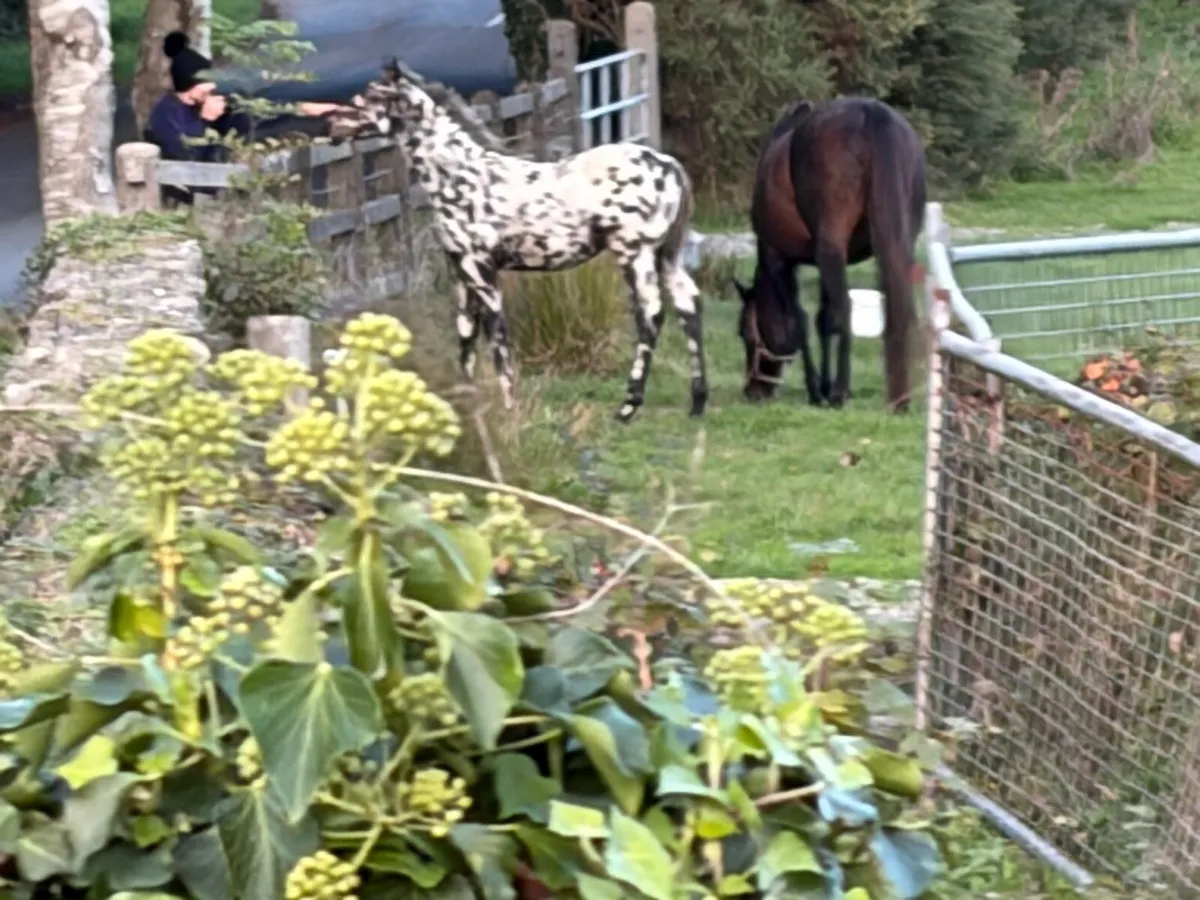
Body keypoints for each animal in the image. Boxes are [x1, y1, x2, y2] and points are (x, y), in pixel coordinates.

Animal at [328, 59, 707, 424]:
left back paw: (628, 407)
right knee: (688, 304)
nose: (331, 129)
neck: (462, 176)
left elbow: (499, 347)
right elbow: (466, 343)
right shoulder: (461, 274)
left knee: (652, 314)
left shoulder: (483, 274)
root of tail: (670, 165)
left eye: (369, 96)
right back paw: (697, 403)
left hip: (635, 254)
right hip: (666, 255)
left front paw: (508, 410)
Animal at [733, 97, 926, 412]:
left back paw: (839, 392)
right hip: (895, 243)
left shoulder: (780, 260)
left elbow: (799, 322)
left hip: (831, 246)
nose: (753, 391)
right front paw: (824, 384)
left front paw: (817, 390)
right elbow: (824, 321)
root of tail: (870, 113)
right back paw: (897, 398)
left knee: (845, 310)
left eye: (745, 333)